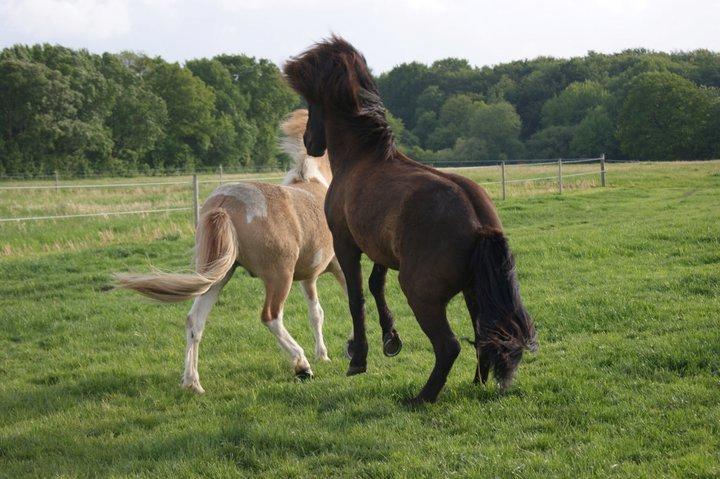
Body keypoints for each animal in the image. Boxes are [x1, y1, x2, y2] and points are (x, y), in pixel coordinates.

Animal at [116, 109, 346, 394]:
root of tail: (224, 203)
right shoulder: (337, 267)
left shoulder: (308, 276)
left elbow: (316, 314)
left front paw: (323, 354)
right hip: (278, 277)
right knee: (271, 317)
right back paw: (301, 365)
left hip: (217, 277)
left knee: (194, 321)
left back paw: (192, 382)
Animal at [284, 36, 536, 404]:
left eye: (312, 102)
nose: (310, 142)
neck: (364, 157)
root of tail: (478, 223)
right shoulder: (381, 249)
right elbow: (376, 285)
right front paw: (390, 339)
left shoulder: (346, 244)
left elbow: (357, 296)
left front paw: (358, 357)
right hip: (473, 292)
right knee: (483, 335)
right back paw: (476, 382)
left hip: (421, 293)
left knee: (450, 346)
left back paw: (421, 397)